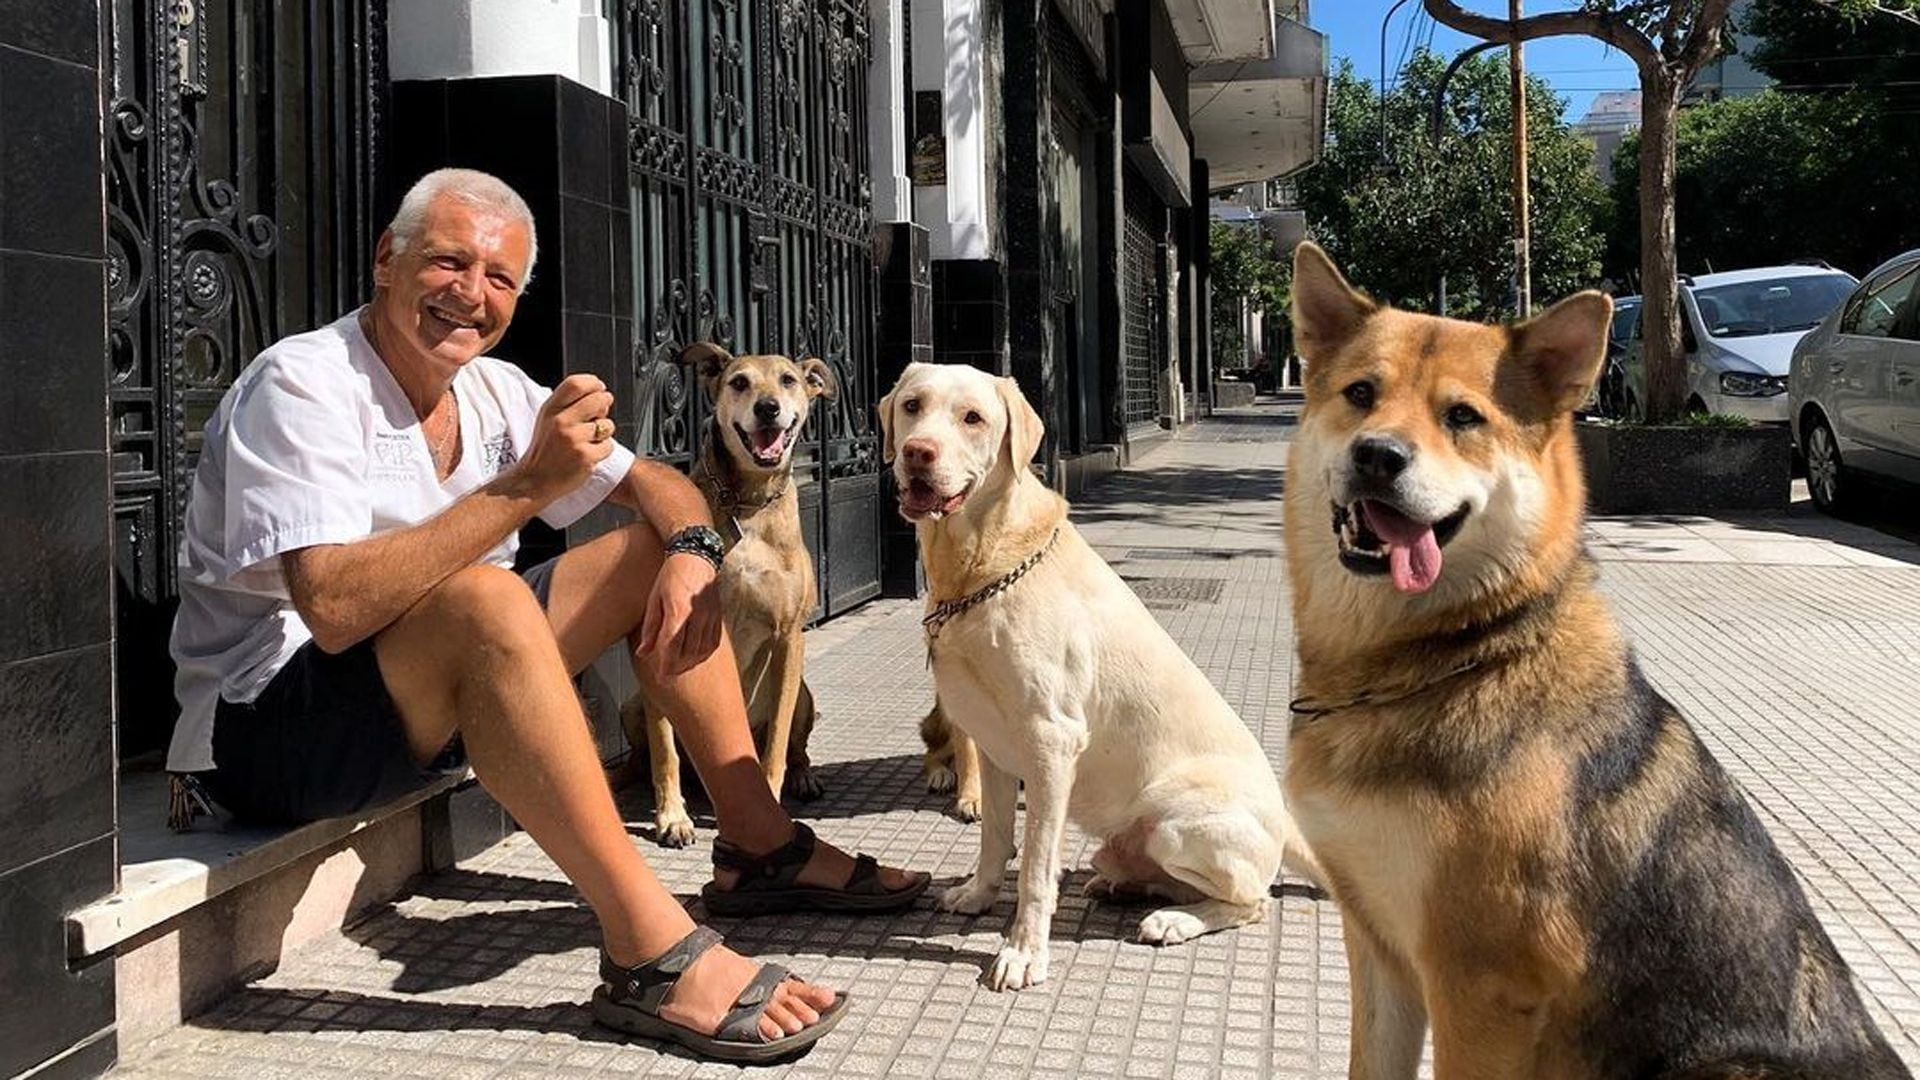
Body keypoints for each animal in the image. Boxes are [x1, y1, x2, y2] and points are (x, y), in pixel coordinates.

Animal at [622, 340, 833, 845]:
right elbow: (664, 749)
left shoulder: (788, 636)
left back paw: (804, 777)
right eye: (739, 381)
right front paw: (671, 816)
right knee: (650, 753)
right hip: (631, 704)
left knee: (794, 743)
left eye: (788, 380)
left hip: (804, 693)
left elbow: (775, 743)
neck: (748, 502)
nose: (768, 408)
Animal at [1274, 244, 1904, 1076]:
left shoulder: (1479, 988)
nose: (1377, 456)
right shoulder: (1378, 947)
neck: (1451, 653)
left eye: (1463, 417)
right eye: (1360, 394)